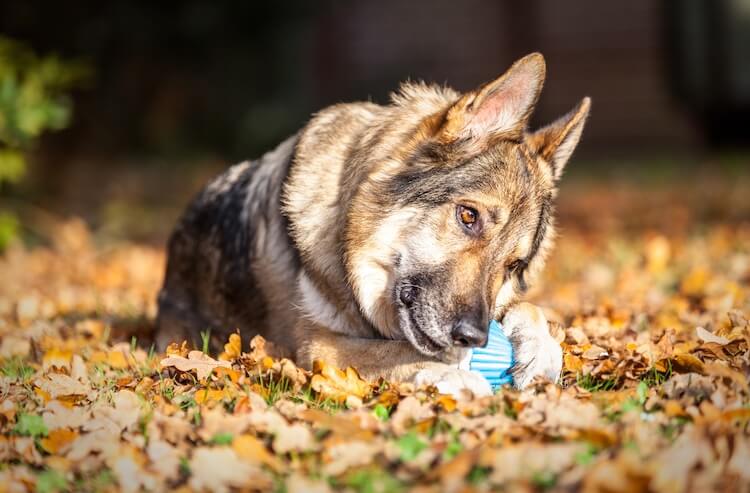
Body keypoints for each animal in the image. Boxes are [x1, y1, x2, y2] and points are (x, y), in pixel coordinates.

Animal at [157, 53, 592, 394]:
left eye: (514, 266)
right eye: (469, 216)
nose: (475, 336)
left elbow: (532, 309)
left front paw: (541, 351)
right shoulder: (318, 345)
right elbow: (402, 350)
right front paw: (457, 373)